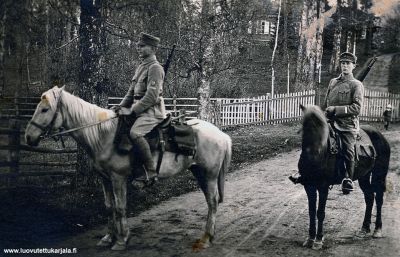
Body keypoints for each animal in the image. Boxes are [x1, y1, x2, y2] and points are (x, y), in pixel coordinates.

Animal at [24, 86, 231, 250]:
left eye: (45, 109)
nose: (28, 137)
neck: (103, 135)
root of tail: (221, 134)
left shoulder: (118, 178)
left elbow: (121, 207)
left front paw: (122, 240)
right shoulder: (105, 179)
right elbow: (109, 207)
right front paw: (108, 237)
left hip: (209, 175)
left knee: (212, 202)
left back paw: (206, 238)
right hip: (199, 173)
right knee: (210, 202)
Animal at [298, 103, 390, 248]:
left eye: (321, 125)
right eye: (305, 124)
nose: (315, 154)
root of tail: (380, 135)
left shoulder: (323, 186)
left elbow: (320, 212)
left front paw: (318, 240)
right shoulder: (309, 186)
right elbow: (311, 211)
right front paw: (310, 238)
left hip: (379, 175)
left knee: (379, 198)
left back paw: (377, 230)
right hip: (364, 176)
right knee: (369, 198)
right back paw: (364, 228)